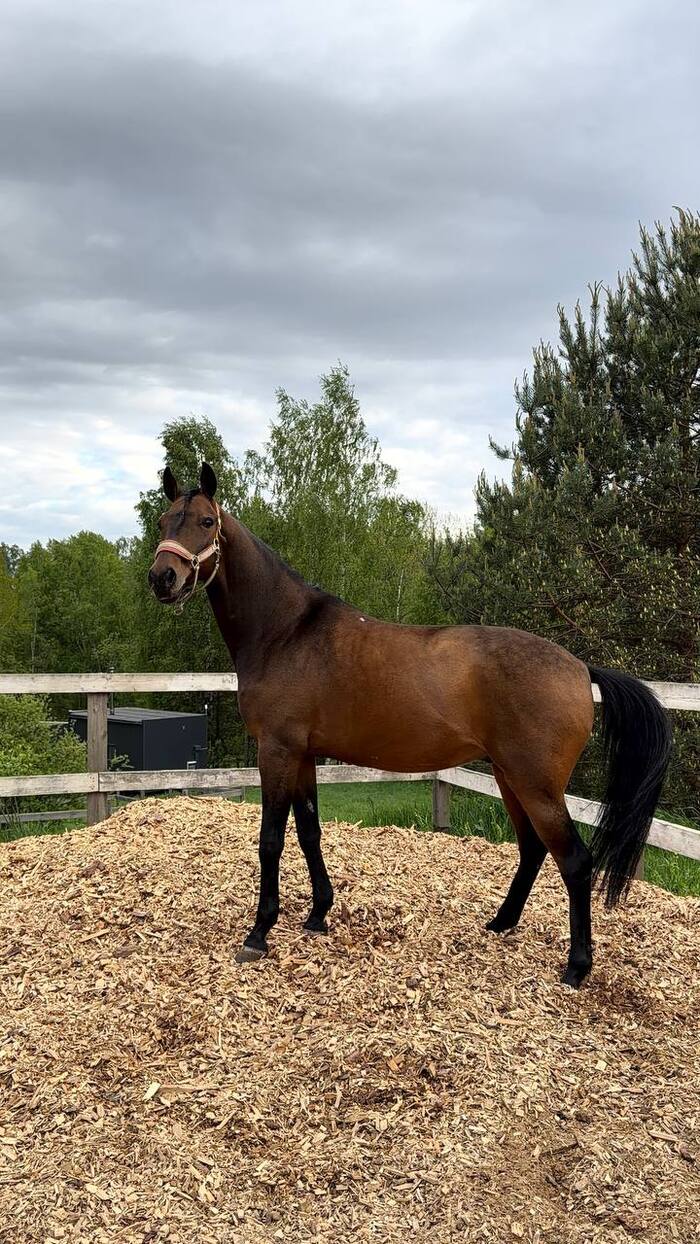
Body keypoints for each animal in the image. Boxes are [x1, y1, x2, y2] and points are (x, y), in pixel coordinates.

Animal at [148, 463, 672, 987]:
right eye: (162, 521)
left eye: (206, 522)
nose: (162, 578)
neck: (286, 632)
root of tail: (581, 668)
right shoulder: (303, 755)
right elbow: (309, 832)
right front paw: (318, 913)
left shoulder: (276, 751)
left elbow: (271, 840)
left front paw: (259, 933)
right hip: (510, 777)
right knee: (532, 850)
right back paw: (500, 923)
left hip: (536, 784)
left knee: (575, 862)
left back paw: (577, 966)